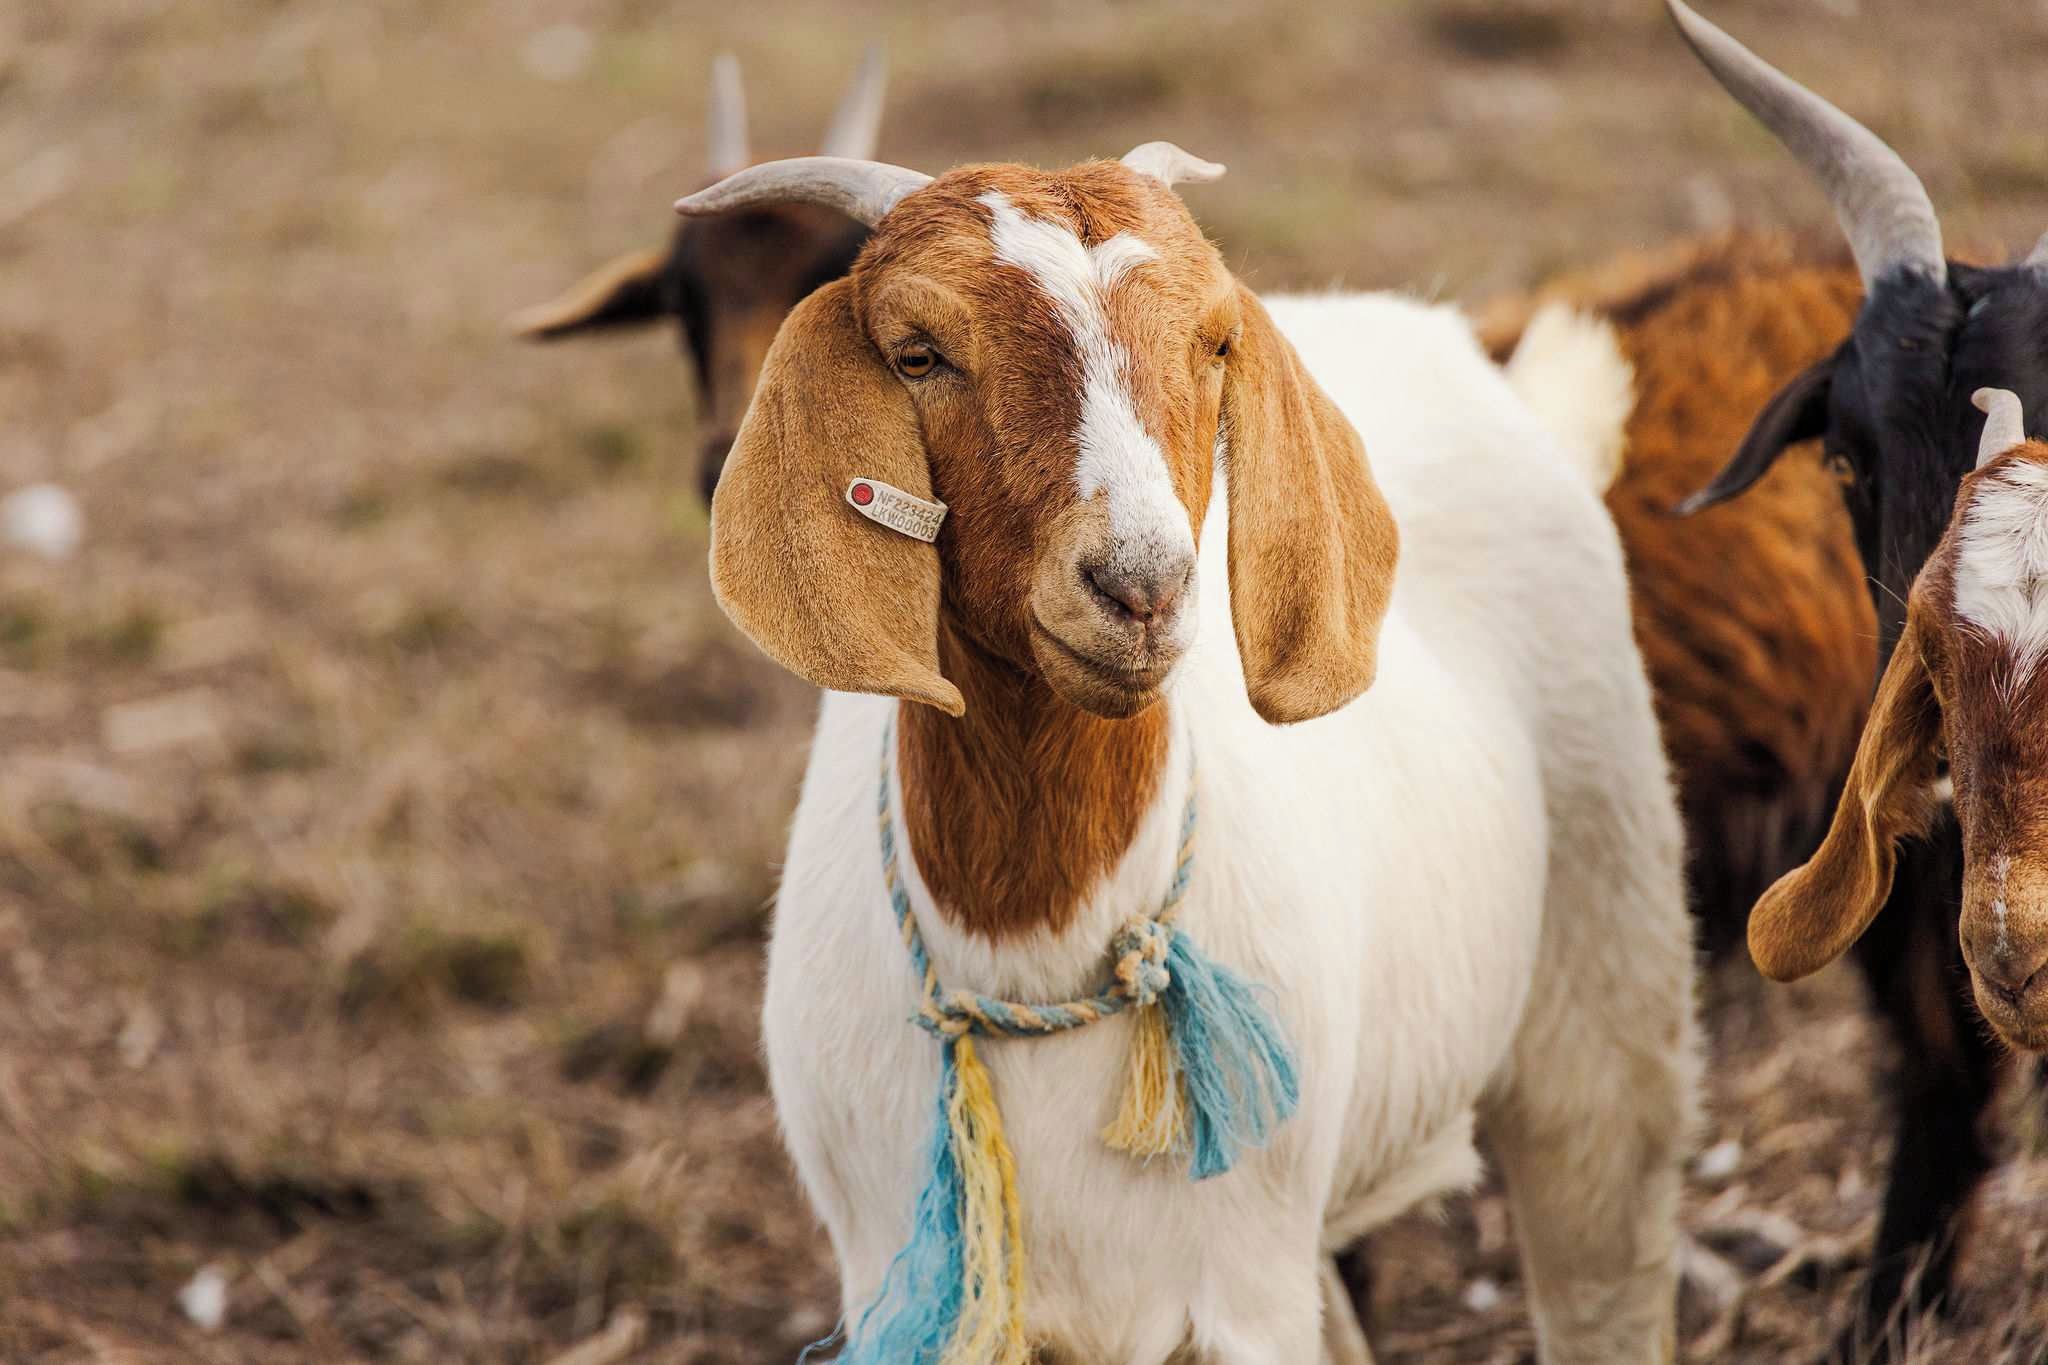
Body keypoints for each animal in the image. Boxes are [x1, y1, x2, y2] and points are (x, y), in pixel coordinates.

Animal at [684, 144, 1698, 1363]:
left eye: (1214, 344)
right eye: (917, 352)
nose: (1140, 585)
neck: (1034, 943)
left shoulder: (1239, 1296)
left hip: (1610, 968)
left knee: (1608, 1235)